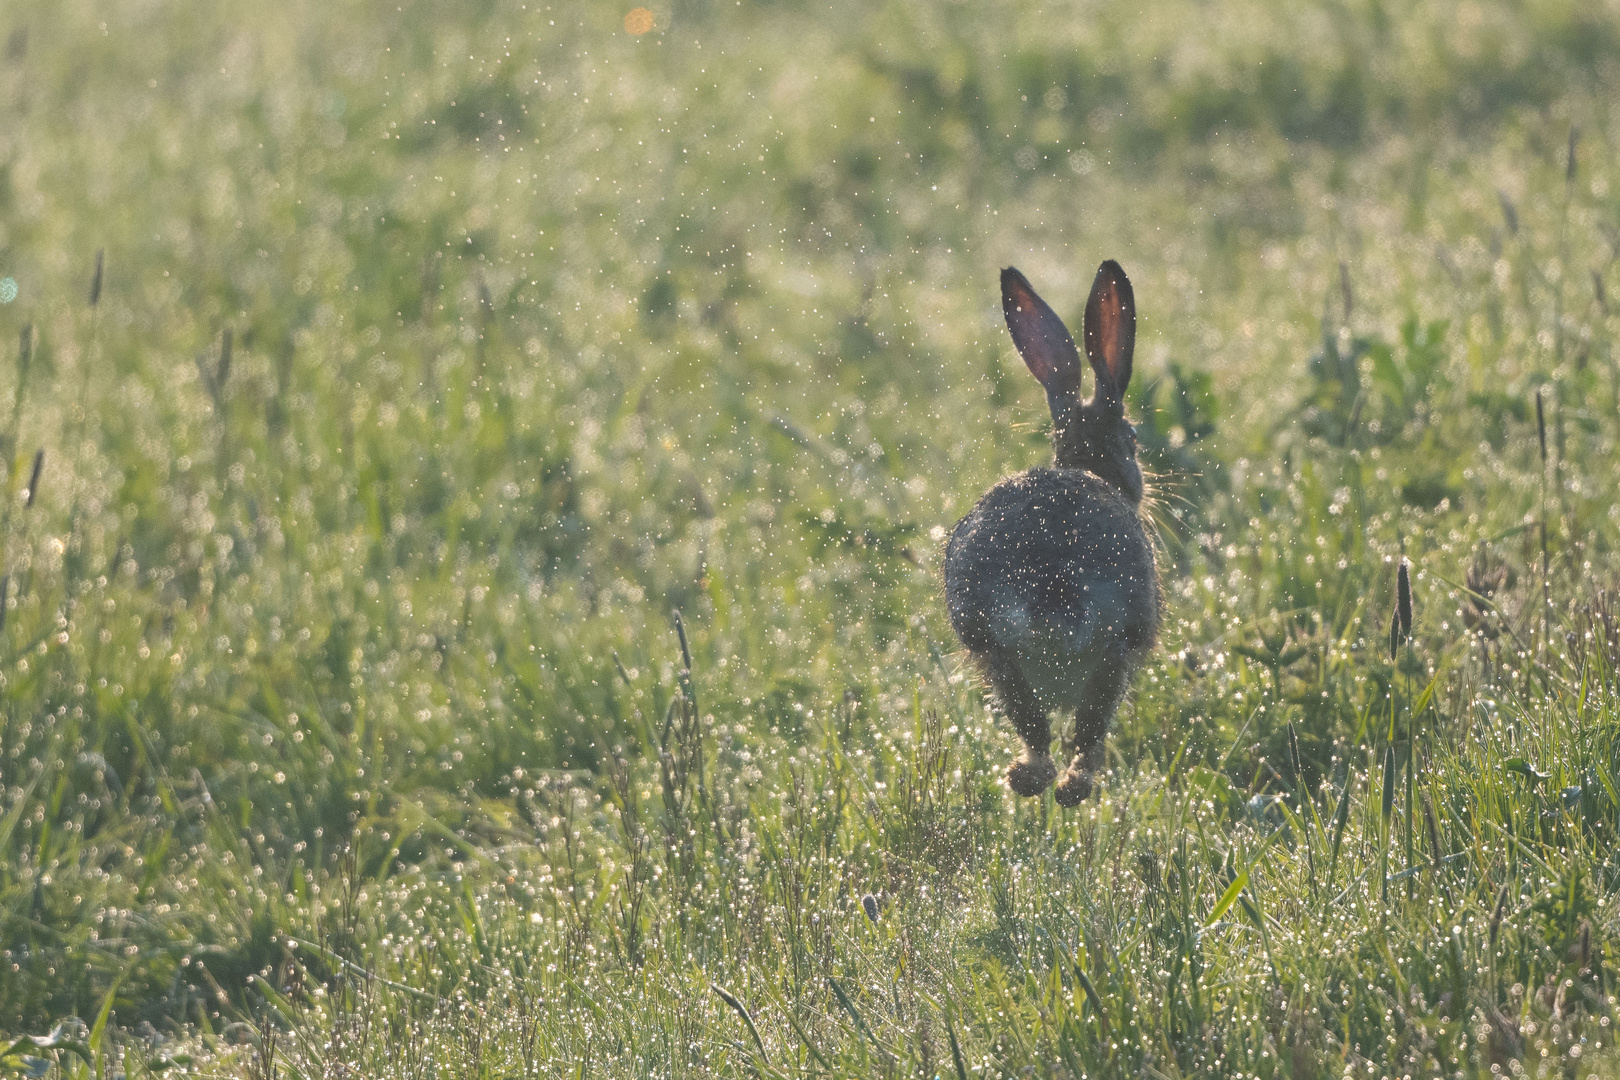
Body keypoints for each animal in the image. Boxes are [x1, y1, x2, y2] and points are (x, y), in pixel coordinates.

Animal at [946, 259, 1159, 803]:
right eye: (1132, 438)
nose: (1141, 485)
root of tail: (1053, 592)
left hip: (990, 644)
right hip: (1114, 644)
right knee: (1077, 736)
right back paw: (1064, 784)